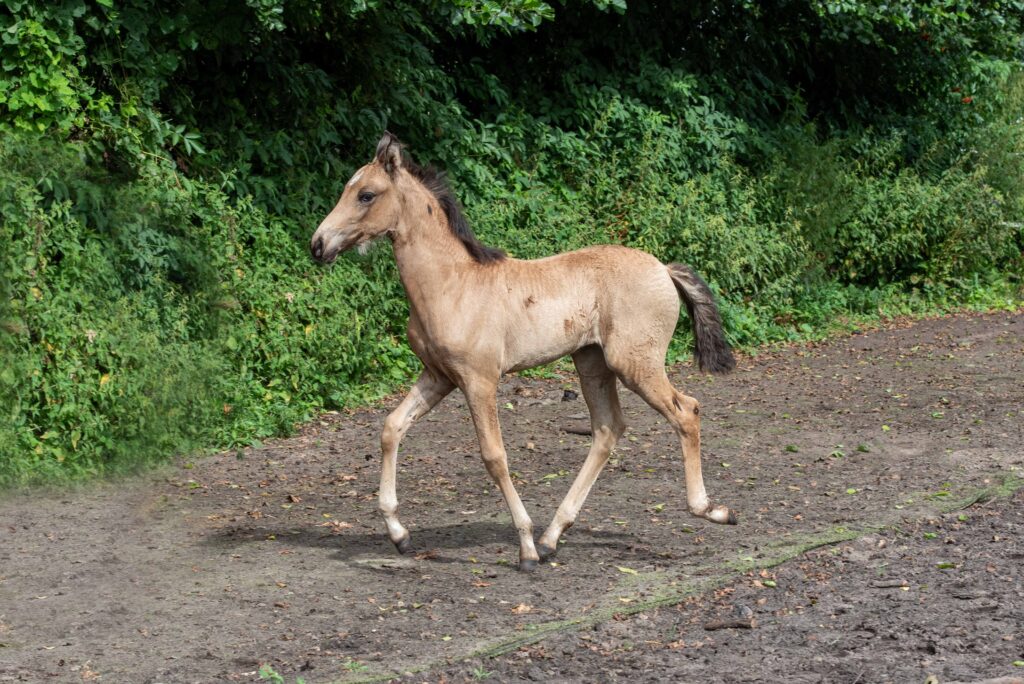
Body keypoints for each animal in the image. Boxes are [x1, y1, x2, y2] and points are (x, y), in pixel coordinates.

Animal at [311, 133, 737, 573]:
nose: (318, 244)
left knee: (686, 411)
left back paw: (709, 509)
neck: (452, 284)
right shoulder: (439, 376)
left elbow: (494, 456)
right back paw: (552, 537)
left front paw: (525, 548)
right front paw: (399, 534)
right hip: (592, 362)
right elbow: (392, 427)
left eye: (366, 194)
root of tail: (664, 269)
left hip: (635, 363)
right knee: (608, 429)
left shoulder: (479, 381)